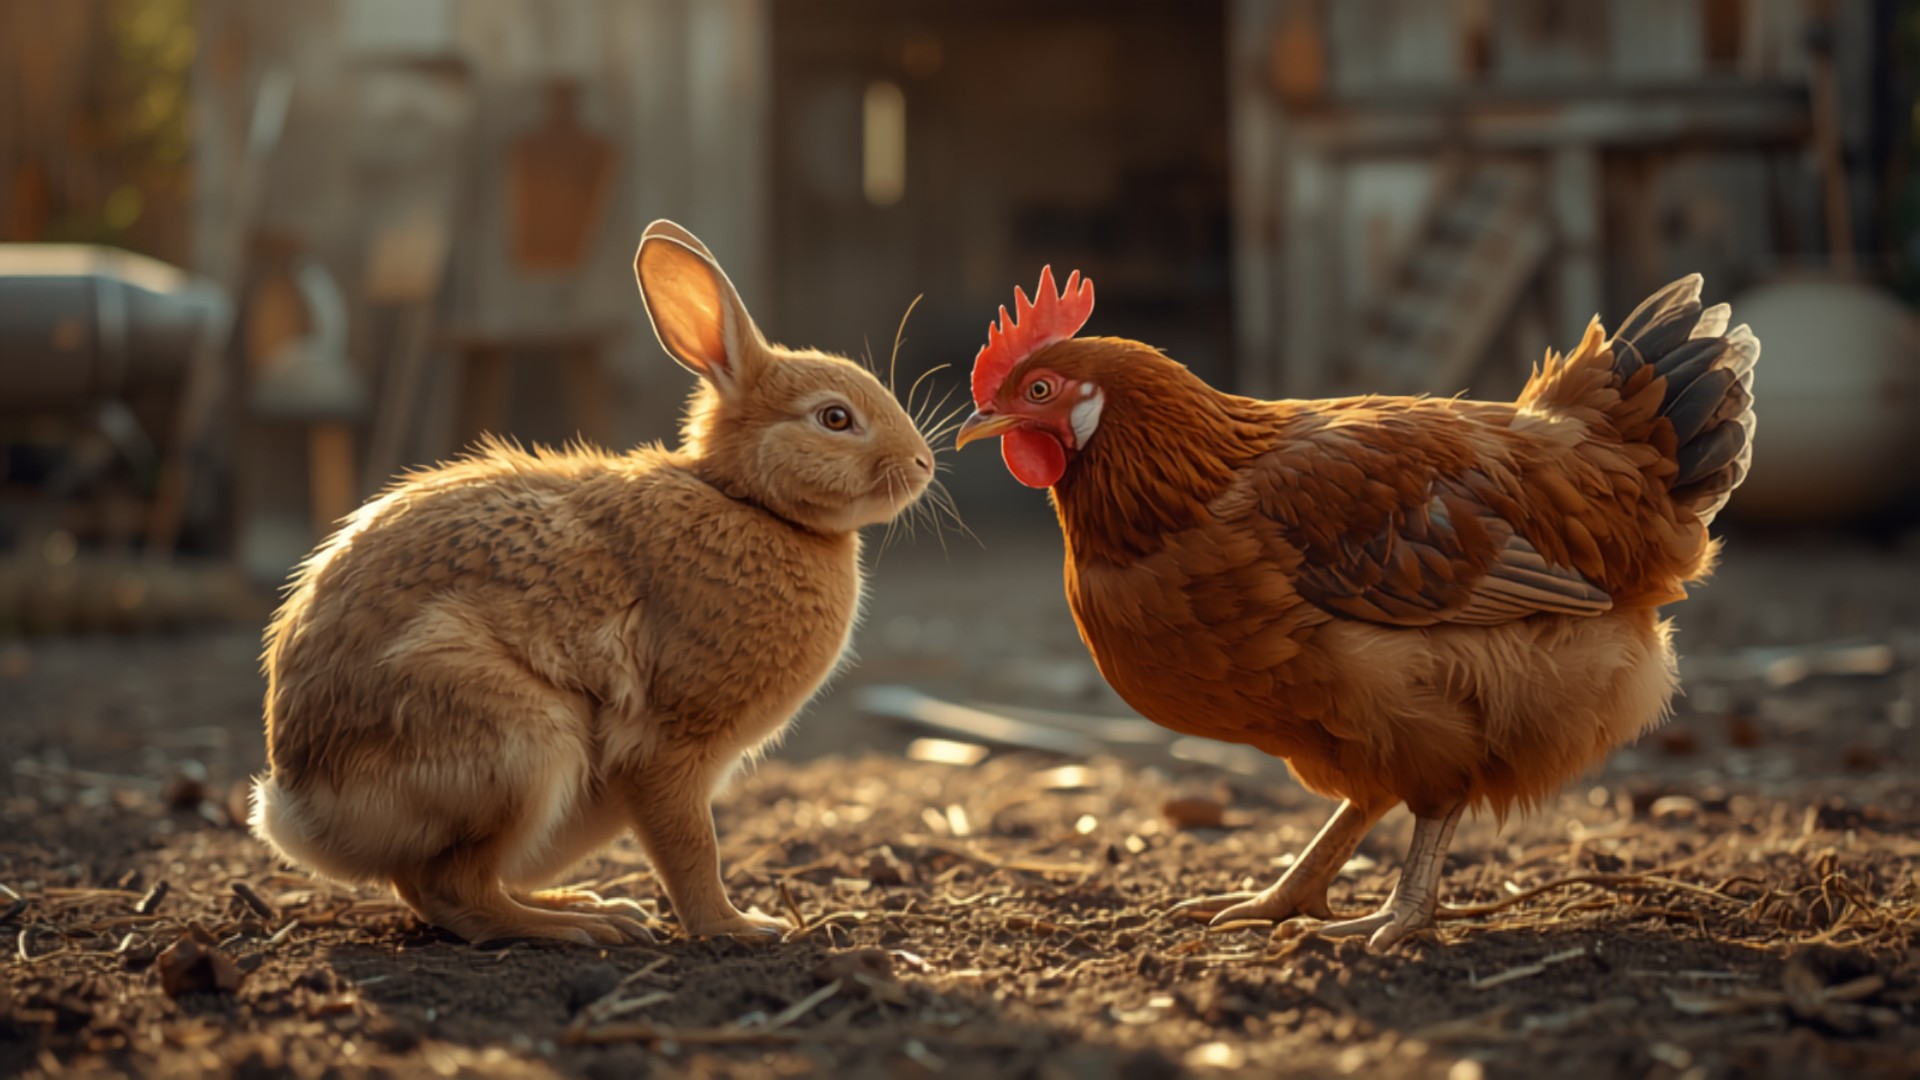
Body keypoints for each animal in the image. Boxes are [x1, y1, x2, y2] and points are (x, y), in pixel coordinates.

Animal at [250, 220, 935, 945]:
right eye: (835, 418)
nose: (924, 463)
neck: (747, 500)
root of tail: (297, 804)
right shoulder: (668, 747)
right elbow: (692, 849)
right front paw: (740, 928)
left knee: (437, 884)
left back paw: (591, 907)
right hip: (525, 745)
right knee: (451, 889)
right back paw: (581, 929)